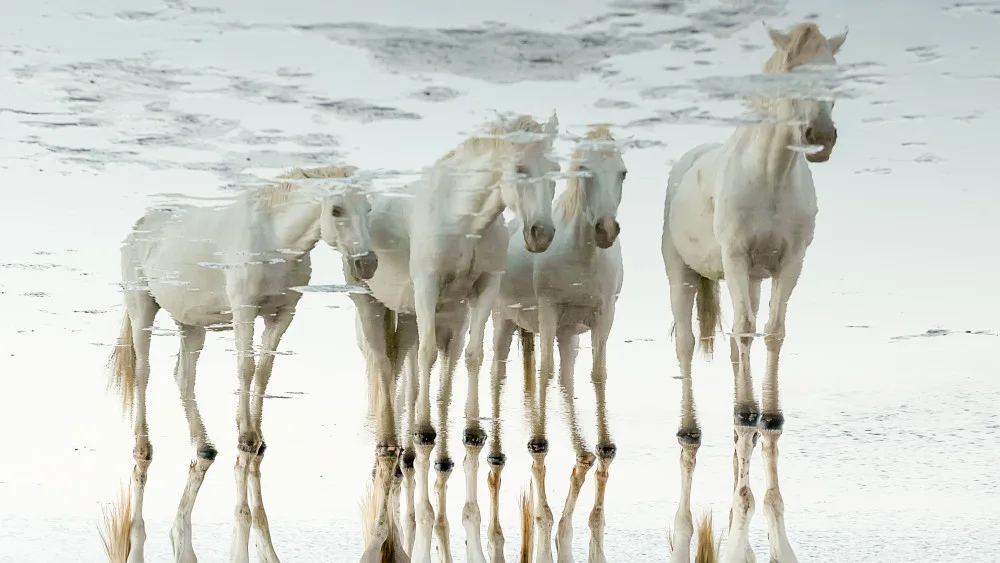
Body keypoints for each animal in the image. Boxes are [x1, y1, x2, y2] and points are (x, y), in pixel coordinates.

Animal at [106, 165, 377, 563]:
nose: (367, 264)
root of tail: (140, 224)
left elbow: (263, 373)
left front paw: (255, 439)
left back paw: (204, 447)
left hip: (191, 324)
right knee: (143, 374)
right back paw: (143, 448)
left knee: (183, 377)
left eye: (368, 210)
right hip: (142, 307)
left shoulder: (283, 314)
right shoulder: (244, 311)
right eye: (336, 210)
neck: (274, 238)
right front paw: (246, 438)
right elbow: (245, 370)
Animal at [346, 112, 561, 563]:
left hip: (409, 315)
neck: (466, 220)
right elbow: (429, 359)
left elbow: (472, 358)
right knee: (384, 366)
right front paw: (424, 433)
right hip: (369, 304)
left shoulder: (480, 293)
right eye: (519, 169)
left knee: (402, 370)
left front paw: (471, 433)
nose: (541, 234)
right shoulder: (428, 289)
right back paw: (393, 446)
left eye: (554, 172)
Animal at [491, 124, 628, 563]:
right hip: (504, 322)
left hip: (569, 336)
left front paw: (605, 446)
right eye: (584, 171)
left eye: (622, 172)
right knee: (497, 374)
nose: (606, 230)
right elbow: (544, 372)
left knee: (566, 381)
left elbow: (597, 375)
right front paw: (538, 442)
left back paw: (583, 452)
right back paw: (497, 451)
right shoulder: (549, 313)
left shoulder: (603, 316)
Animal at [660, 22, 847, 563]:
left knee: (736, 342)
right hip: (681, 271)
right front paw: (746, 413)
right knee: (689, 347)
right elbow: (744, 334)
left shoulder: (788, 266)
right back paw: (693, 429)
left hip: (752, 280)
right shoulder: (736, 258)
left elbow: (773, 333)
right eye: (791, 74)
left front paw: (770, 415)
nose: (820, 137)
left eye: (835, 74)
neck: (771, 177)